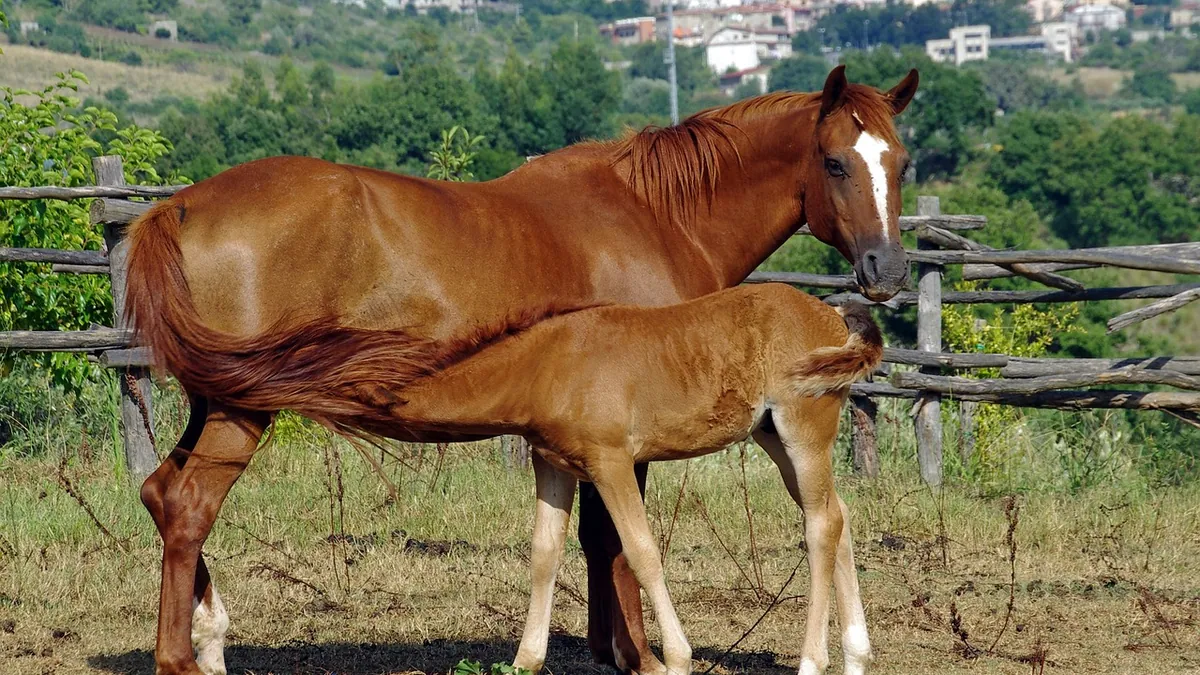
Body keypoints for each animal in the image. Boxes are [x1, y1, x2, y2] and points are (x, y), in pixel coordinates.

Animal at [354, 283, 884, 675]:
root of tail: (833, 312)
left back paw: (813, 662)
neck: (548, 364)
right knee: (837, 515)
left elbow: (641, 551)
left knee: (821, 526)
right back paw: (856, 657)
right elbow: (544, 555)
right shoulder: (551, 464)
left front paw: (676, 659)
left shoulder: (611, 464)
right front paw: (526, 661)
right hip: (772, 438)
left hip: (803, 433)